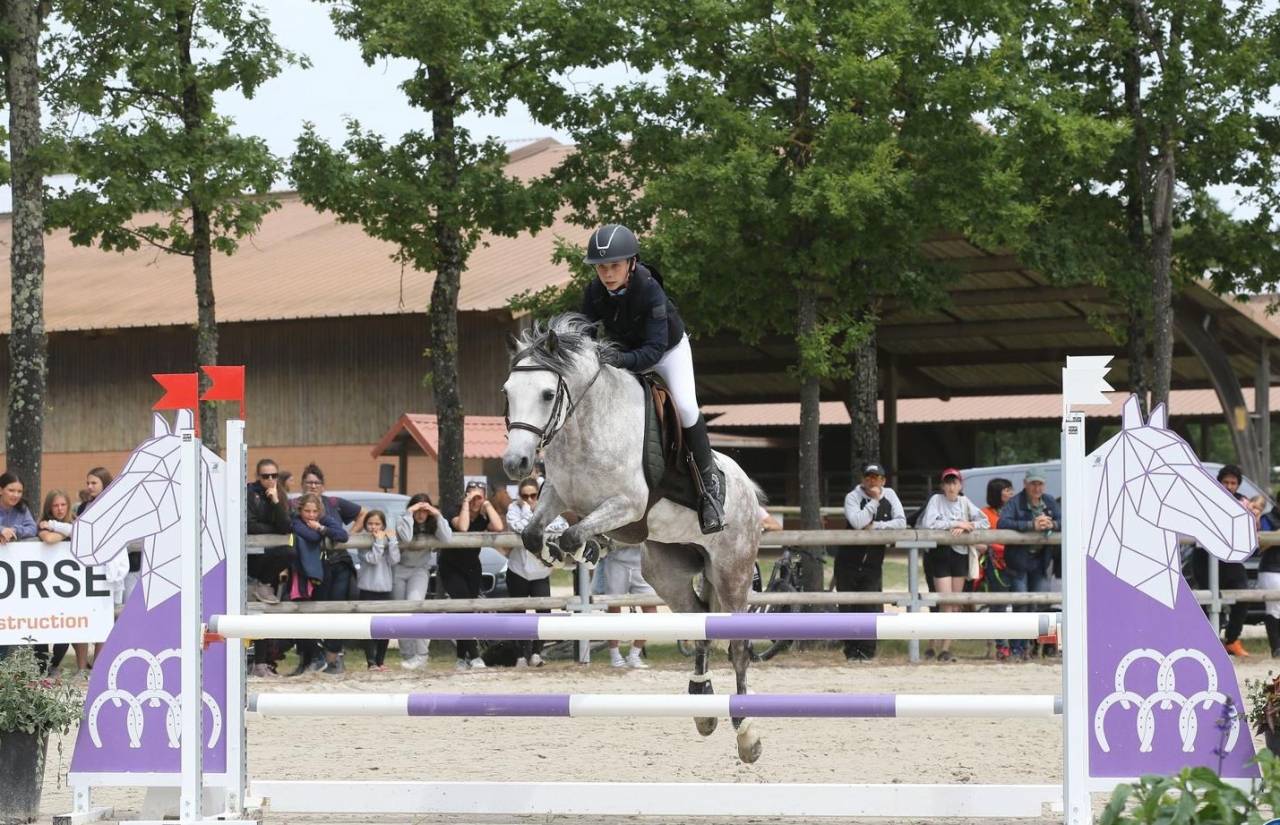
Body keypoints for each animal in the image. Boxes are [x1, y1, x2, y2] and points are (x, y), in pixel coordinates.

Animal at [501, 314, 765, 763]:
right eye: (507, 392)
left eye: (547, 393)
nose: (515, 464)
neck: (584, 426)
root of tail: (749, 490)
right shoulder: (557, 496)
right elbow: (535, 533)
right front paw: (559, 555)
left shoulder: (627, 503)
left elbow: (573, 533)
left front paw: (584, 549)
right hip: (665, 571)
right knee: (699, 621)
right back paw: (703, 706)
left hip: (733, 571)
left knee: (738, 644)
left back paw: (746, 731)